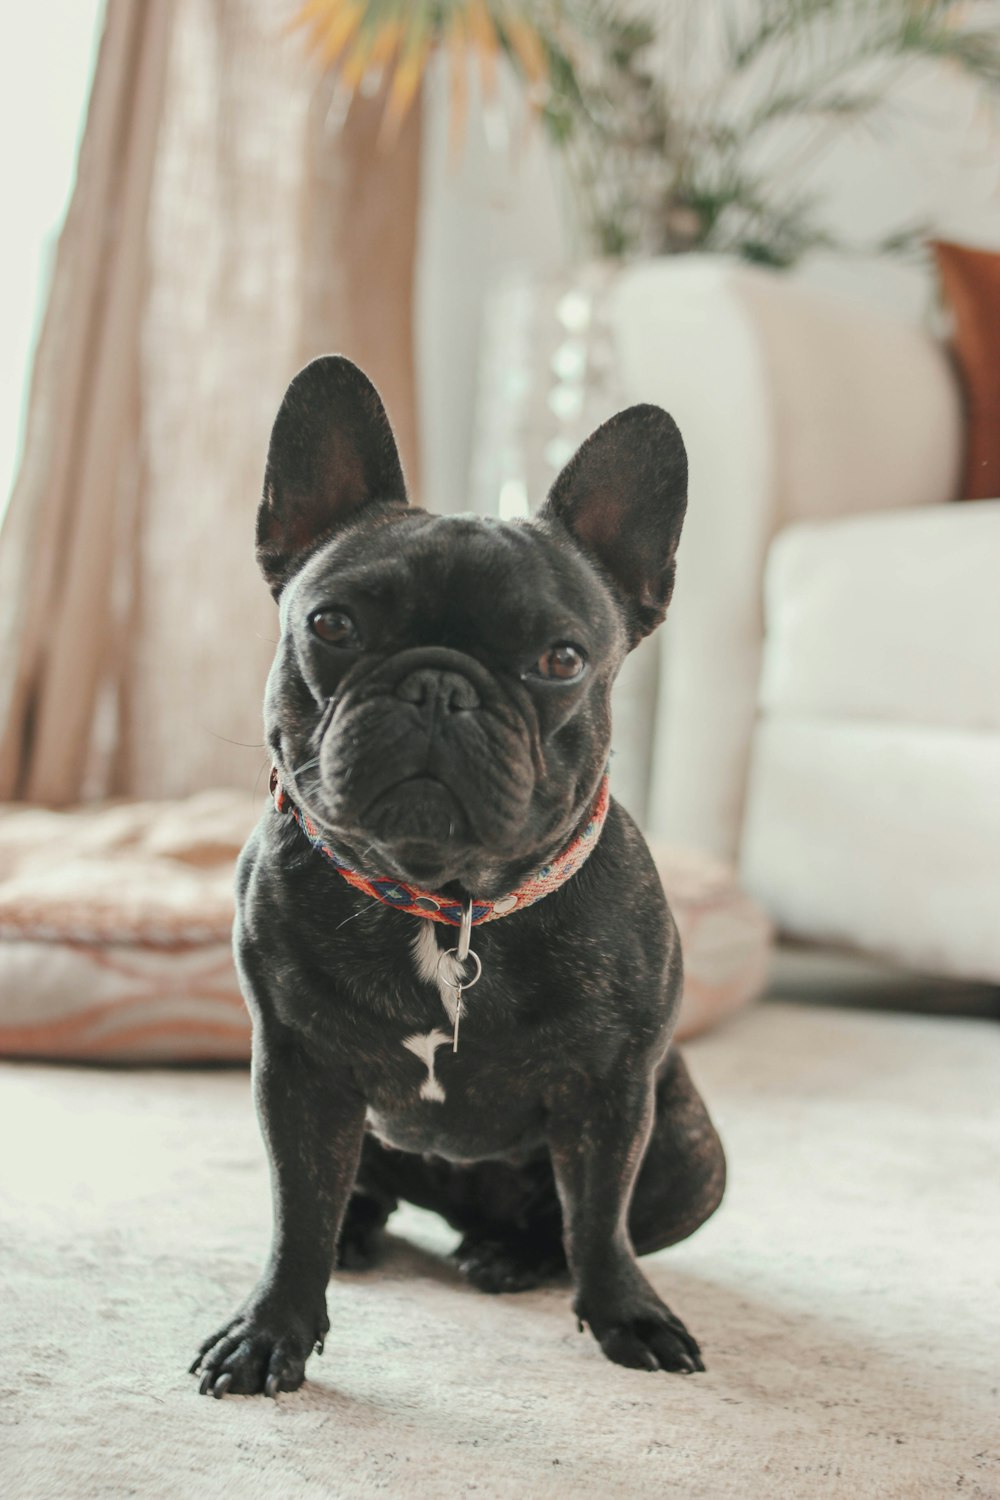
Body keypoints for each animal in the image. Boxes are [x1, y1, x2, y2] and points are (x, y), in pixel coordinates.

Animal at [191, 357, 722, 1398]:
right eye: (333, 623)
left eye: (563, 658)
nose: (439, 685)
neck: (449, 901)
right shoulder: (297, 1071)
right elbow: (297, 1212)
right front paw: (272, 1330)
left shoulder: (614, 1091)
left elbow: (600, 1218)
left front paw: (627, 1315)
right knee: (355, 1192)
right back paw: (367, 1233)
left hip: (689, 1148)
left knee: (574, 1223)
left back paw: (513, 1255)